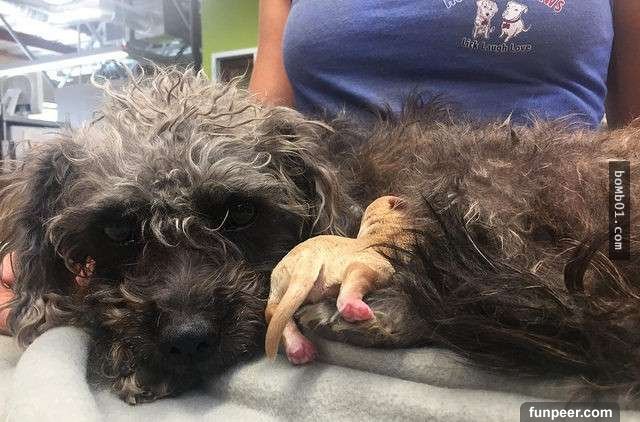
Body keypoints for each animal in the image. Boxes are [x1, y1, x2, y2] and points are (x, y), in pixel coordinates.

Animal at [265, 195, 412, 364]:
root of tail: (307, 256)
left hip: (282, 289)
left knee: (273, 311)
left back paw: (298, 347)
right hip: (379, 267)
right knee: (353, 280)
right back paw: (353, 307)